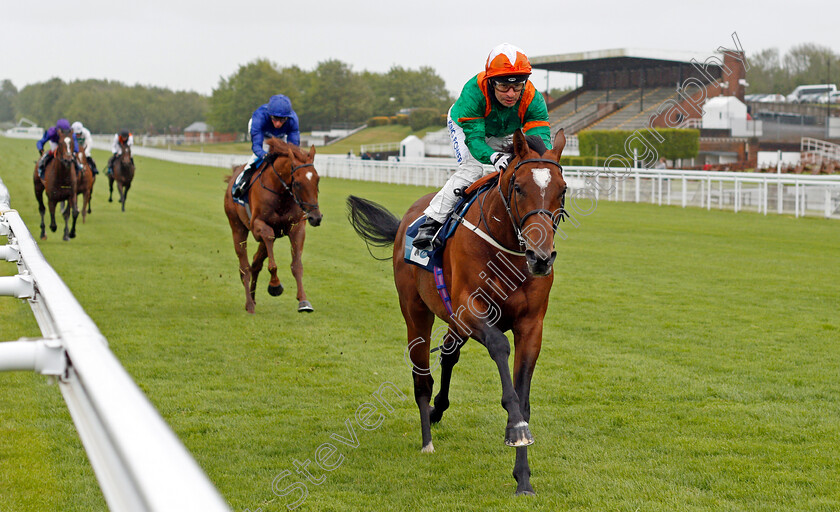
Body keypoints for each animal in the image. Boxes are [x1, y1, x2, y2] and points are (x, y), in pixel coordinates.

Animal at [221, 138, 324, 314]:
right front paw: (275, 285)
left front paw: (304, 301)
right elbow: (269, 244)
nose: (315, 217)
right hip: (237, 227)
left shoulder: (297, 228)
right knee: (245, 267)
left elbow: (297, 265)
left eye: (317, 180)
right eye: (297, 183)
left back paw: (253, 299)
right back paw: (249, 304)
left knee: (255, 263)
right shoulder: (258, 226)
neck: (281, 193)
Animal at [344, 128, 568, 496]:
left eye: (562, 190)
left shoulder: (531, 325)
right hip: (417, 313)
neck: (506, 248)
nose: (541, 257)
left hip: (450, 318)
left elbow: (523, 394)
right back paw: (427, 438)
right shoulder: (470, 310)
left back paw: (438, 410)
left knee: (448, 354)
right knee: (422, 375)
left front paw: (523, 477)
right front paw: (515, 428)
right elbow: (500, 349)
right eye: (520, 187)